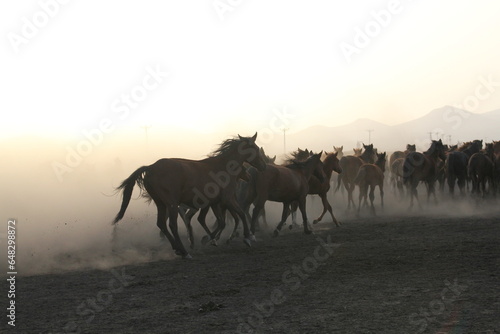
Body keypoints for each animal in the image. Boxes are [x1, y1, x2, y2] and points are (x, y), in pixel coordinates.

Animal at [112, 133, 268, 258]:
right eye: (255, 148)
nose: (264, 166)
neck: (224, 167)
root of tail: (150, 167)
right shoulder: (227, 199)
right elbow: (240, 214)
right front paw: (247, 237)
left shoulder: (216, 202)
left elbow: (225, 220)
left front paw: (212, 238)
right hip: (172, 203)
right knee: (172, 225)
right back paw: (185, 251)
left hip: (160, 203)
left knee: (161, 223)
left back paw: (178, 248)